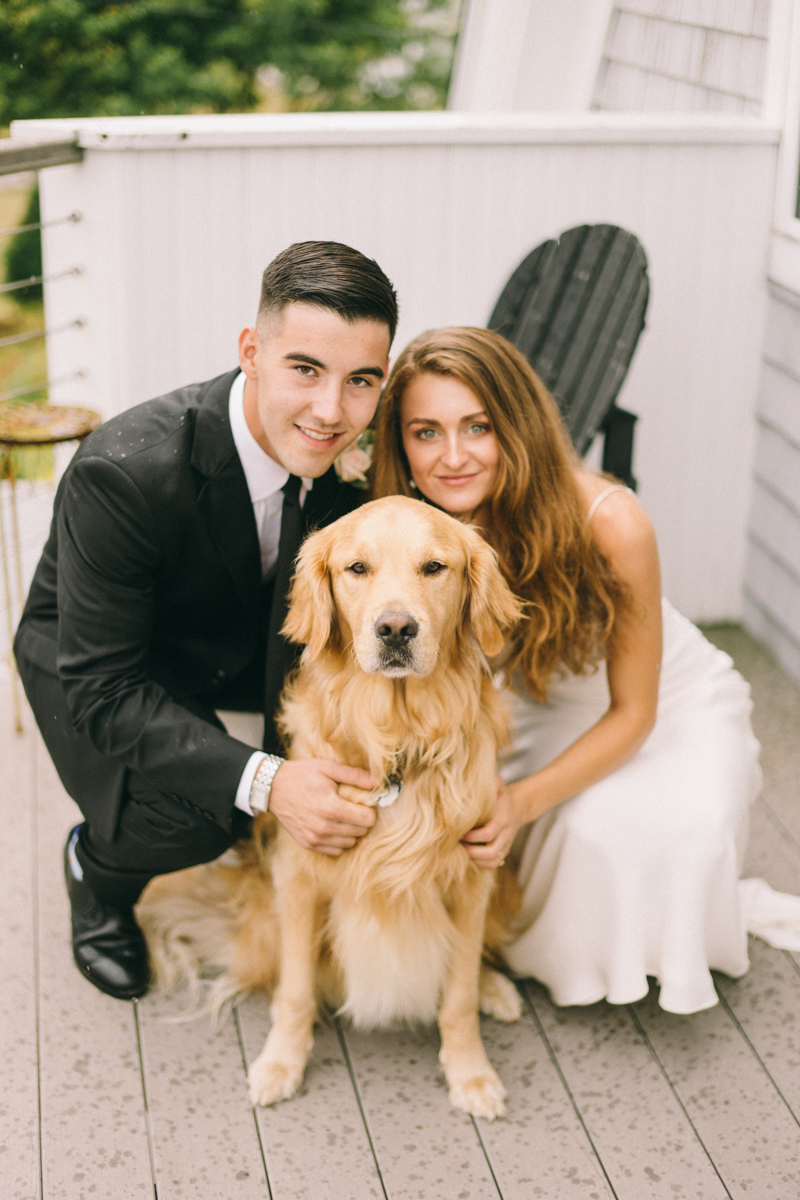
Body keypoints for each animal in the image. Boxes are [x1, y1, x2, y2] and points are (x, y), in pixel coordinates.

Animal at [137, 492, 525, 1118]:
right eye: (357, 568)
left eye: (434, 567)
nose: (396, 628)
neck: (396, 743)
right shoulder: (300, 877)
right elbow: (296, 989)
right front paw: (281, 1063)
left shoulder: (472, 874)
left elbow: (458, 993)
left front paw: (470, 1072)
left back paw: (496, 988)